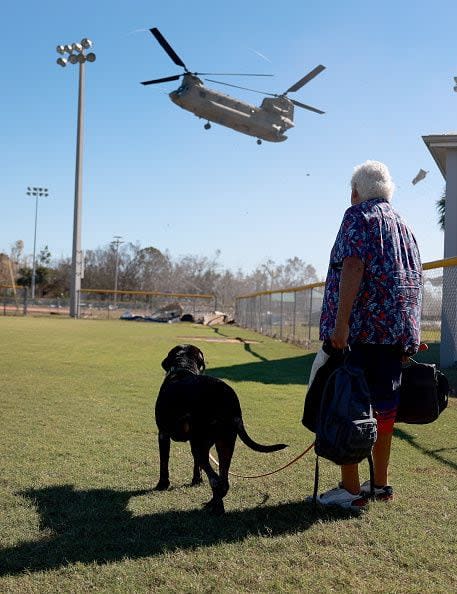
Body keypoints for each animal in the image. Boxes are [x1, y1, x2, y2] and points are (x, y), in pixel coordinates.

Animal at [155, 342, 286, 512]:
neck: (183, 367)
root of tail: (227, 397)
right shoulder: (194, 440)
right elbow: (196, 465)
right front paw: (196, 480)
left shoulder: (163, 434)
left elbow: (164, 461)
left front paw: (162, 484)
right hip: (225, 442)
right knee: (223, 481)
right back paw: (214, 504)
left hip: (201, 443)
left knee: (216, 480)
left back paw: (216, 507)